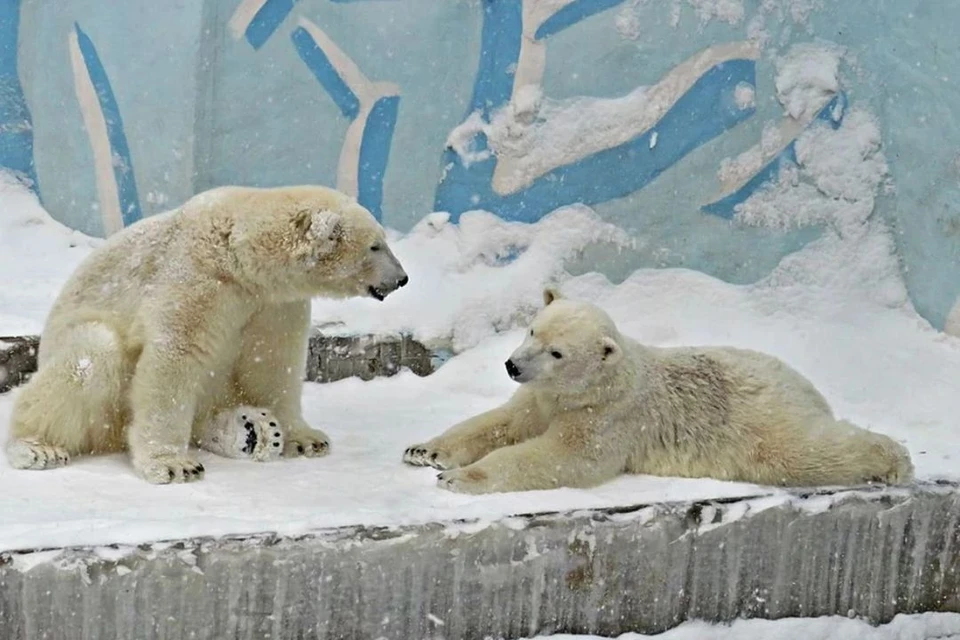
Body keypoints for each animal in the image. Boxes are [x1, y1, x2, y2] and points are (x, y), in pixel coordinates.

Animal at [5, 185, 406, 484]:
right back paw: (36, 447)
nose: (402, 278)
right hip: (83, 360)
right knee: (90, 355)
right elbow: (175, 357)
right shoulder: (197, 279)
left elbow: (273, 363)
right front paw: (172, 464)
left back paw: (253, 430)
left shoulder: (274, 304)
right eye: (375, 245)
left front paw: (306, 438)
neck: (239, 255)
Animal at [404, 288, 916, 492]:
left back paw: (895, 460)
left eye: (558, 353)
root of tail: (804, 384)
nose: (512, 365)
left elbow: (560, 457)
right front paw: (424, 451)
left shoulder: (607, 418)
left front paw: (457, 478)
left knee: (801, 451)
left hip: (759, 418)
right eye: (533, 329)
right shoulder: (541, 397)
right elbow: (503, 421)